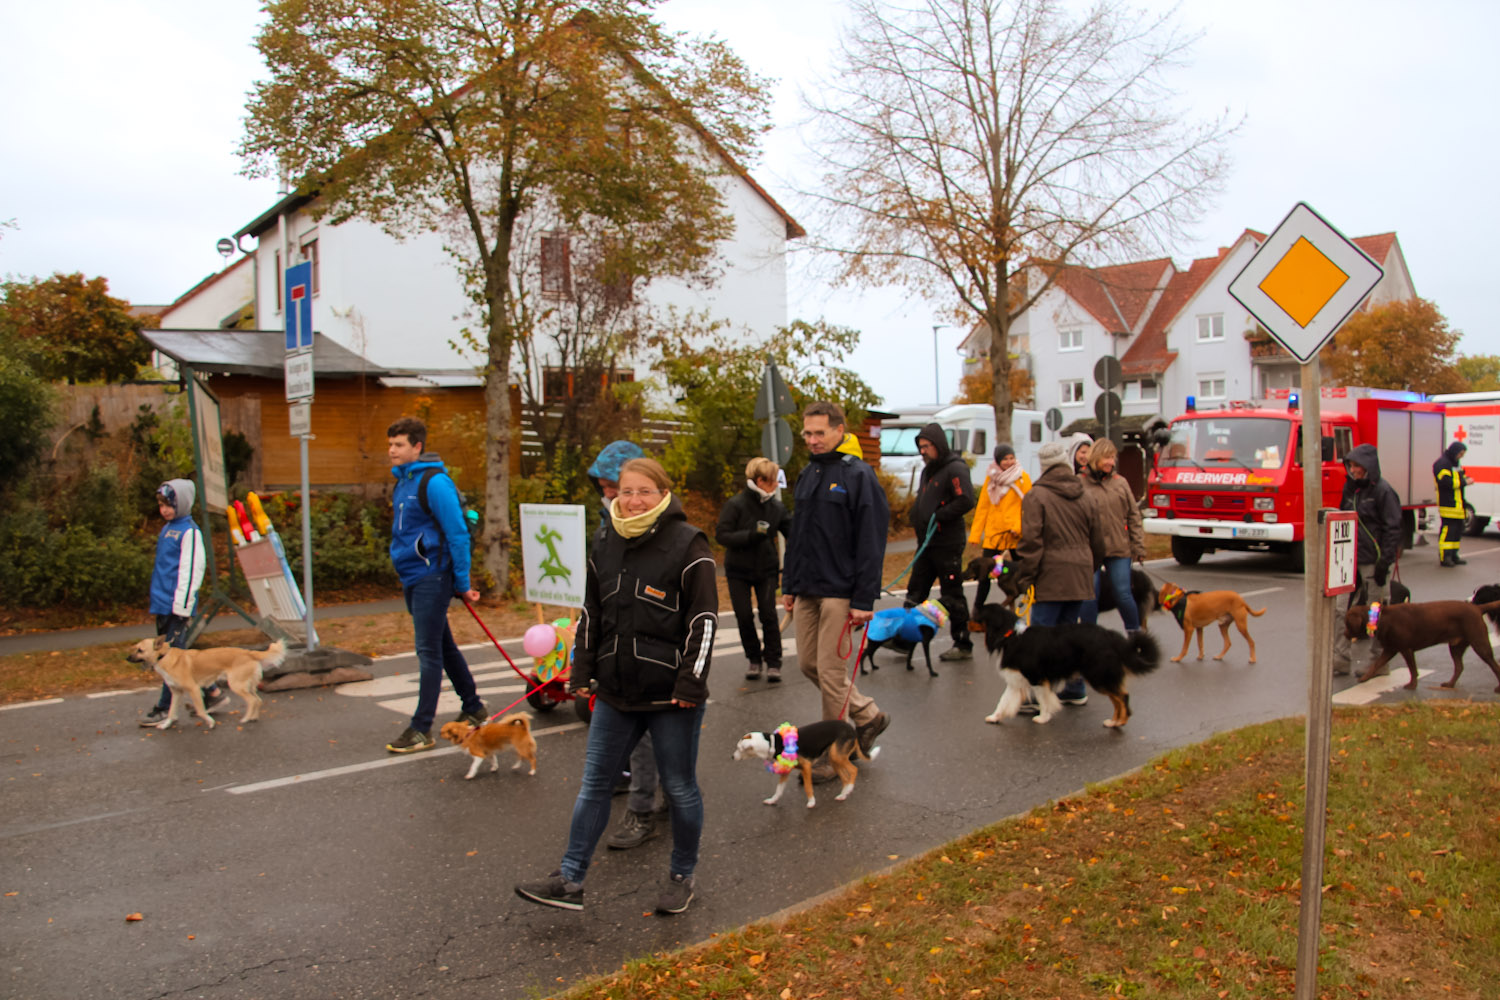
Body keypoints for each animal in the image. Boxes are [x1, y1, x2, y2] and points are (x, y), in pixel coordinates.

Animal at [126, 637, 285, 729]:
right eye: (136, 648)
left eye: (140, 650)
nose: (127, 658)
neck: (163, 656)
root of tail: (249, 652)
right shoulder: (176, 692)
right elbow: (171, 712)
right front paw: (166, 724)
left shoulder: (194, 689)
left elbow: (201, 710)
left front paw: (210, 722)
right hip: (247, 686)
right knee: (258, 700)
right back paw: (253, 717)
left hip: (237, 686)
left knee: (252, 701)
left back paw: (246, 719)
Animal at [733, 720, 878, 808]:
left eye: (739, 748)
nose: (732, 756)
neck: (775, 743)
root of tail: (852, 730)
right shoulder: (786, 770)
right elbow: (779, 789)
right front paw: (772, 800)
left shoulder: (806, 767)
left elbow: (808, 787)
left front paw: (811, 802)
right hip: (834, 758)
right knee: (844, 777)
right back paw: (843, 794)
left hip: (836, 756)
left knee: (853, 770)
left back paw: (849, 789)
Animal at [974, 603, 1161, 728]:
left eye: (977, 616)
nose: (969, 619)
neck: (1010, 635)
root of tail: (1110, 636)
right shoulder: (1016, 679)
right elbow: (1003, 701)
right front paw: (994, 717)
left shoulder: (1037, 678)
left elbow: (1043, 699)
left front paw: (1043, 717)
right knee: (1117, 698)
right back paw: (1113, 721)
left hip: (1098, 675)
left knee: (1123, 696)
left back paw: (1119, 722)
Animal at [1344, 599, 1500, 691]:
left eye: (1347, 624)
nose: (1344, 634)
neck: (1381, 618)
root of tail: (1477, 608)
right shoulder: (1390, 649)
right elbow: (1375, 665)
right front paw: (1365, 678)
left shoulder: (1405, 649)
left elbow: (1413, 669)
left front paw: (1412, 685)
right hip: (1456, 646)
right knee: (1459, 667)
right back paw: (1450, 684)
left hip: (1480, 643)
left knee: (1494, 664)